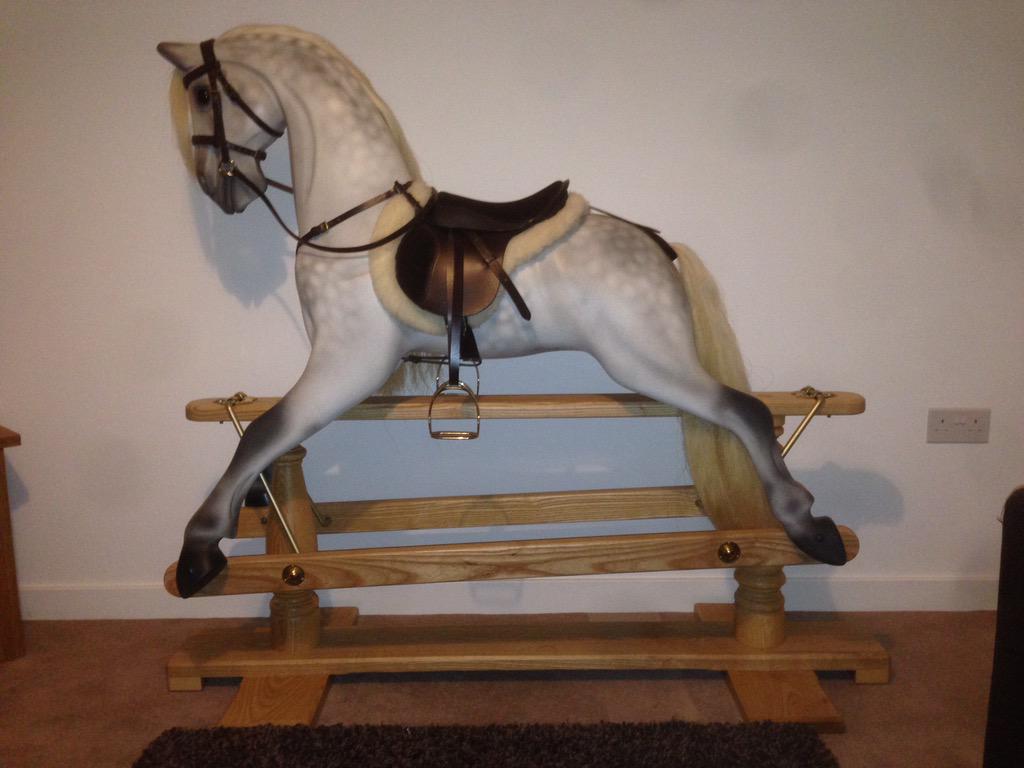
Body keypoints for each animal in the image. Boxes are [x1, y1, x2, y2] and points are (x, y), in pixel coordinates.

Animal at [157, 25, 846, 598]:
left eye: (201, 92)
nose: (219, 190)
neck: (356, 222)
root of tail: (660, 247)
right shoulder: (345, 368)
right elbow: (265, 437)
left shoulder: (345, 363)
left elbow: (264, 433)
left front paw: (198, 552)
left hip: (648, 360)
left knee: (746, 411)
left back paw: (813, 528)